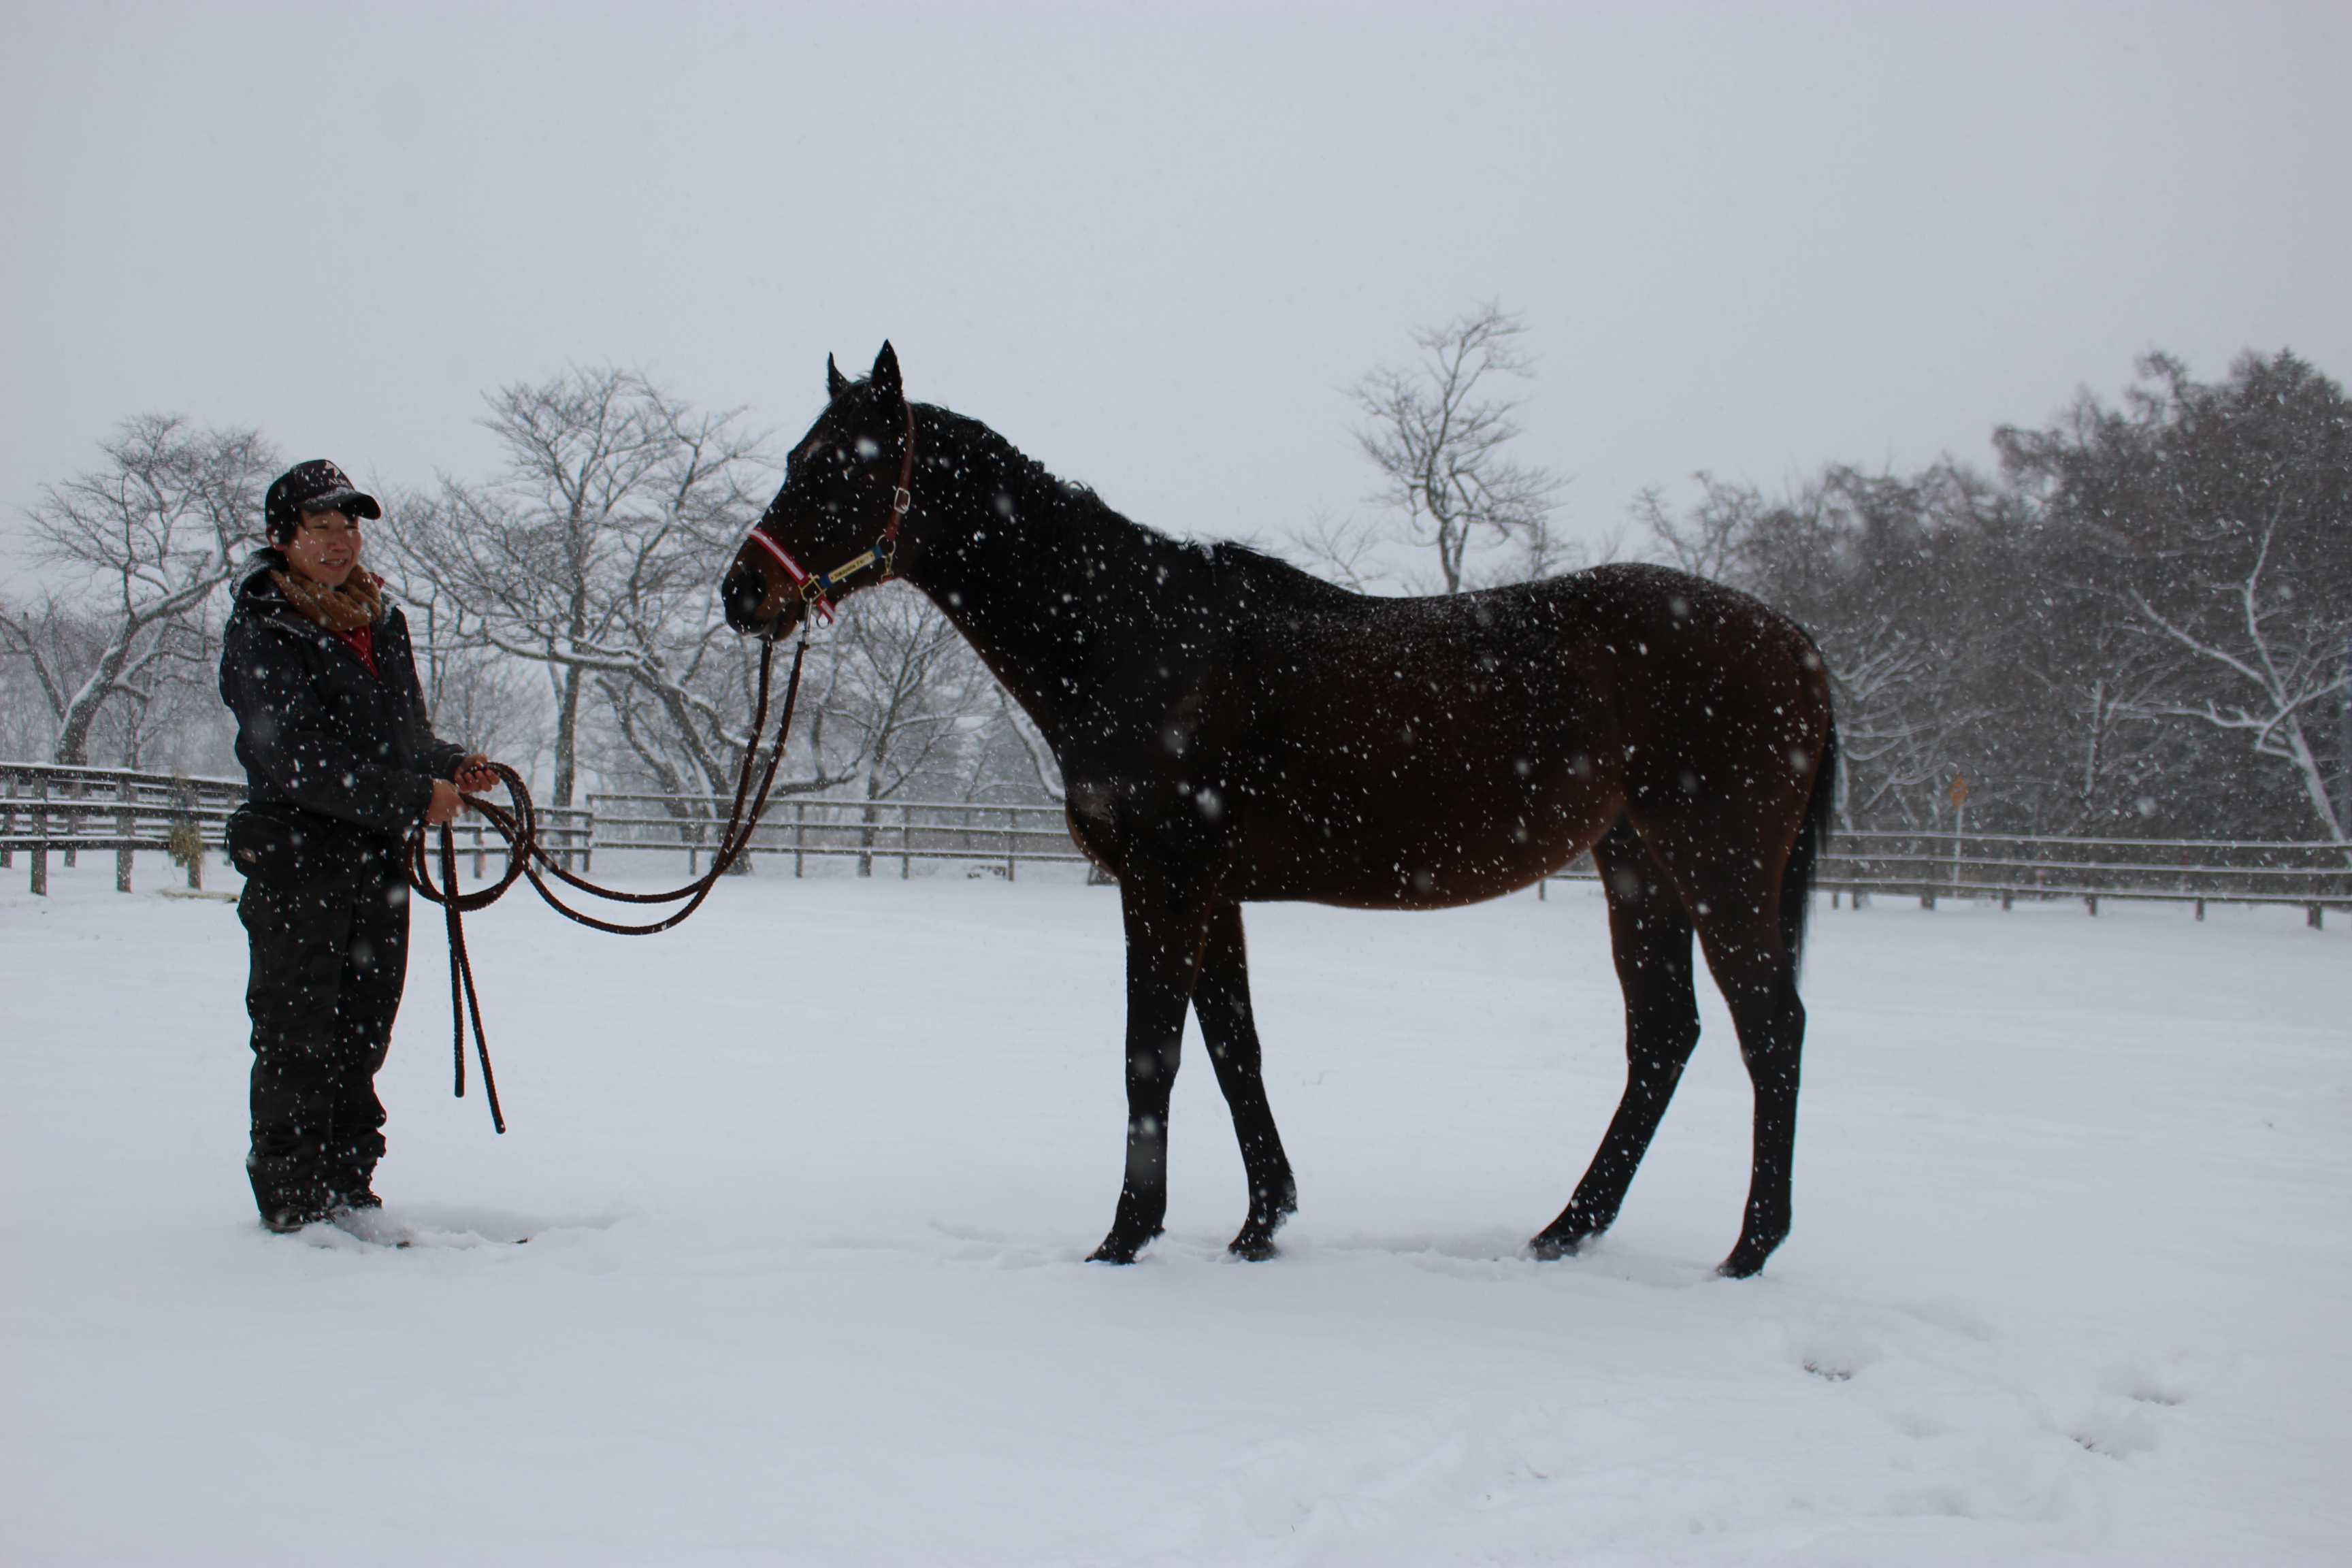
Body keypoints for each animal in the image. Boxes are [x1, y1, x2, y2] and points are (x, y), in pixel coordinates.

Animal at [715, 340, 1834, 1279]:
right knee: (1666, 1037)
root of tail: (1792, 642)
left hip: (1718, 865)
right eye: (797, 456)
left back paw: (1748, 1249)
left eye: (842, 466)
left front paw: (1124, 1239)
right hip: (1637, 864)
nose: (743, 592)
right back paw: (1567, 1230)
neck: (1135, 634)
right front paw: (1262, 1225)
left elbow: (1153, 1055)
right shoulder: (1214, 893)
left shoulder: (1166, 882)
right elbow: (1233, 1050)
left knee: (1770, 1027)